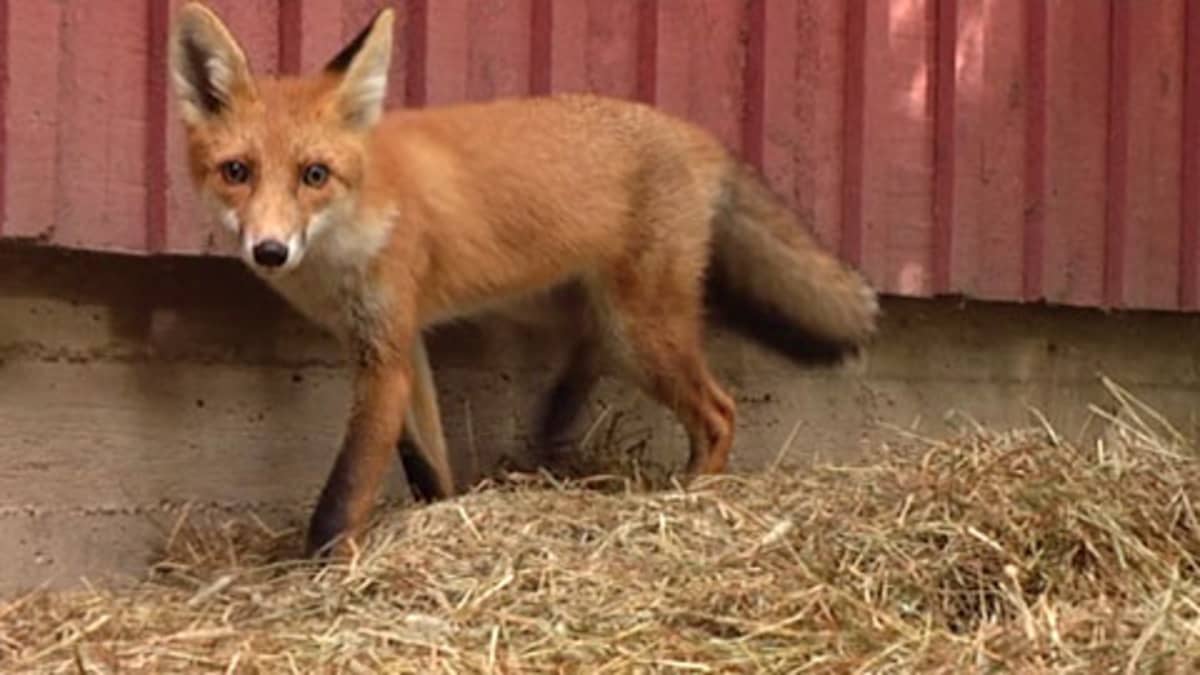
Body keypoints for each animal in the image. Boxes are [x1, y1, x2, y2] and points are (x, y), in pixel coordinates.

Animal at [169, 2, 883, 554]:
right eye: (237, 172)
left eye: (314, 175)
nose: (269, 250)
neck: (357, 219)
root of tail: (700, 137)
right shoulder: (398, 345)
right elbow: (424, 462)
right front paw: (444, 515)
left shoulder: (384, 354)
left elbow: (344, 491)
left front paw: (322, 571)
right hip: (575, 309)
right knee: (589, 357)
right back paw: (552, 431)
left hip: (640, 331)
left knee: (718, 411)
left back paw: (690, 497)